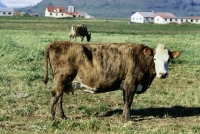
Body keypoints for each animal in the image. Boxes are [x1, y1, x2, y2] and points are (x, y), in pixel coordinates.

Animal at [43, 40, 181, 120]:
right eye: (155, 58)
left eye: (168, 59)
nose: (163, 74)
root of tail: (56, 43)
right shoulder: (131, 83)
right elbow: (129, 101)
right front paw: (128, 119)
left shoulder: (126, 85)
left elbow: (125, 101)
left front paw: (124, 116)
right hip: (61, 80)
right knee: (54, 96)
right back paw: (52, 118)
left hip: (63, 82)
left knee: (59, 98)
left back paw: (62, 116)